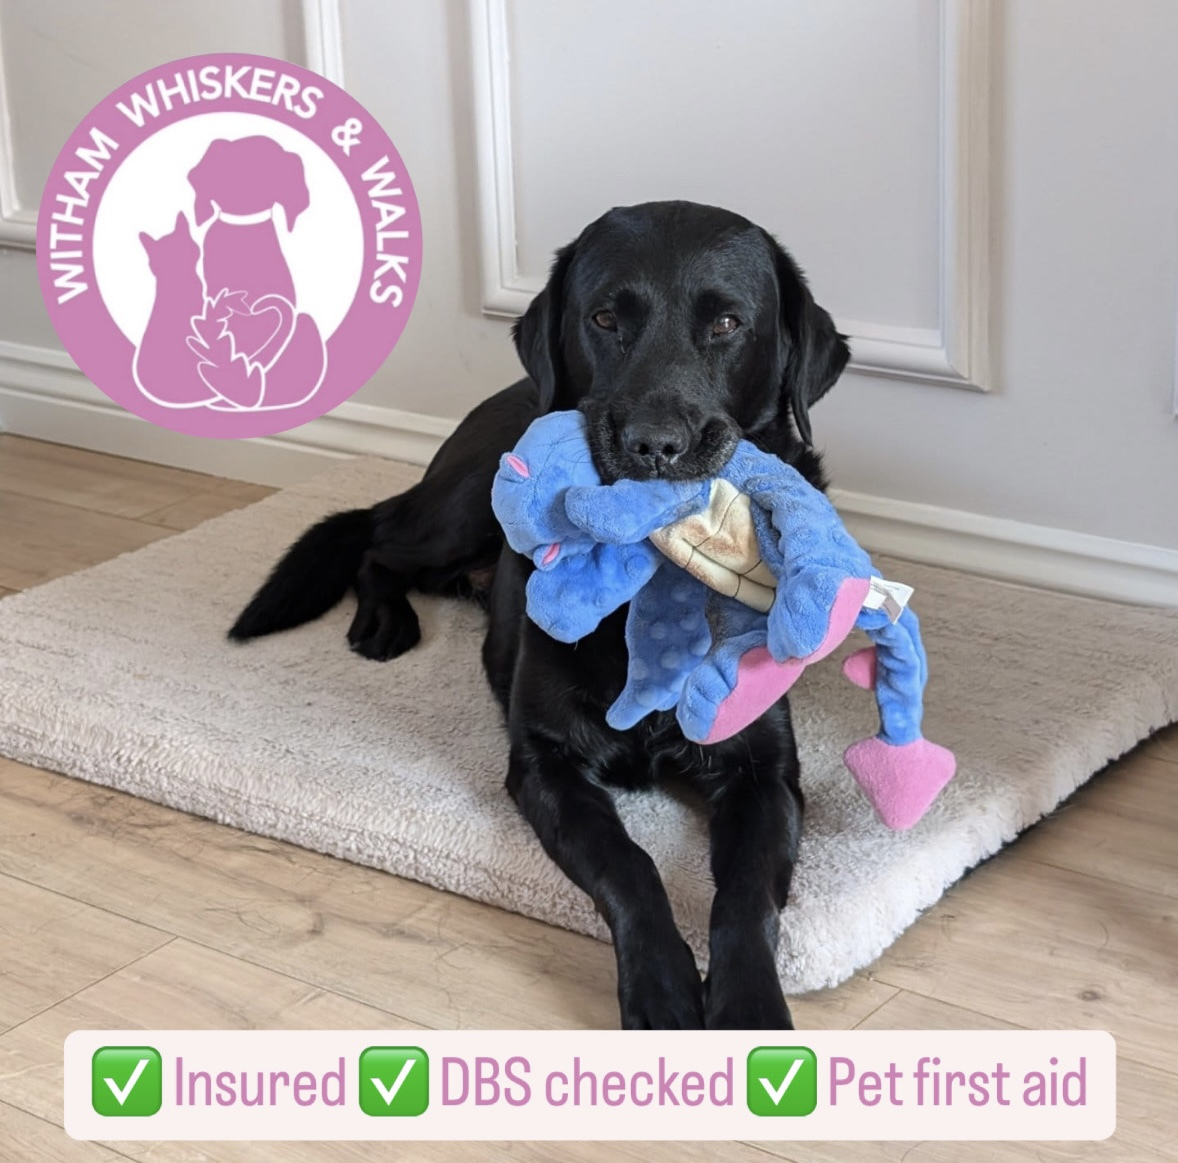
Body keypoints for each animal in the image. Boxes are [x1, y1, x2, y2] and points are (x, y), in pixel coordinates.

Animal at [230, 200, 850, 1030]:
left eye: (726, 323)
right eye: (604, 318)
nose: (655, 445)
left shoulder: (765, 774)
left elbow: (746, 898)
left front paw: (749, 1005)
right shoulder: (545, 762)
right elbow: (631, 863)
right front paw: (661, 987)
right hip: (460, 507)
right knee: (378, 540)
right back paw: (383, 622)